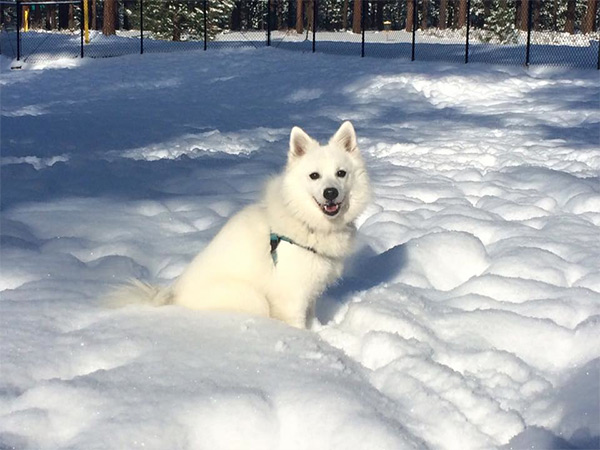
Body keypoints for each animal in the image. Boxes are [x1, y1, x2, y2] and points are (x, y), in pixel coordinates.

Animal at [113, 121, 370, 328]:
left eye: (341, 173)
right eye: (314, 176)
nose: (330, 193)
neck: (304, 221)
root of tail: (174, 299)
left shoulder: (311, 290)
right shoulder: (291, 296)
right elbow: (298, 325)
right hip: (252, 297)